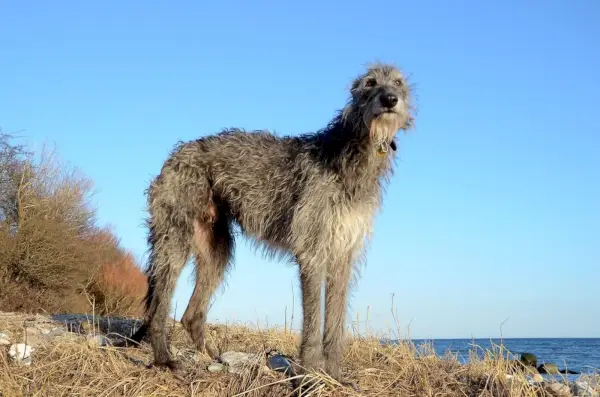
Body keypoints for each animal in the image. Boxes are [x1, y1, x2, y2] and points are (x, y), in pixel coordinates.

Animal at [129, 62, 414, 380]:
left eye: (398, 83)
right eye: (370, 83)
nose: (390, 100)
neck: (350, 154)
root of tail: (177, 153)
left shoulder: (342, 255)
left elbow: (335, 323)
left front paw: (335, 376)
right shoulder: (313, 251)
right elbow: (313, 324)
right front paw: (309, 374)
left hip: (216, 246)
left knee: (191, 314)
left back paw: (213, 357)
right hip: (174, 237)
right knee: (158, 305)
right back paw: (164, 359)